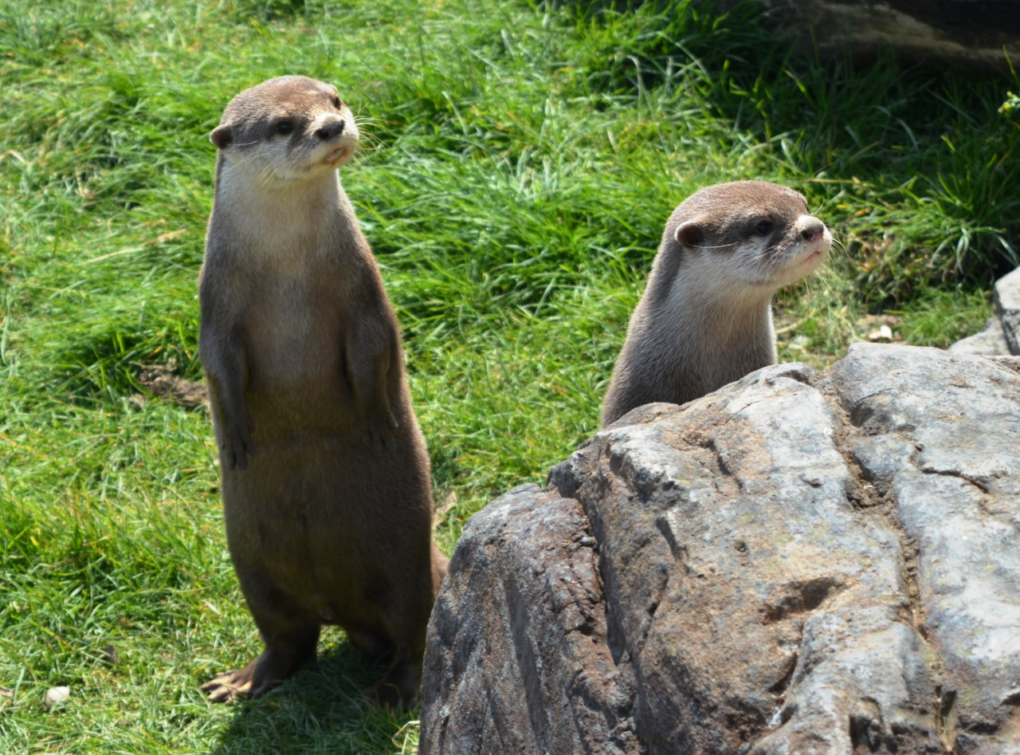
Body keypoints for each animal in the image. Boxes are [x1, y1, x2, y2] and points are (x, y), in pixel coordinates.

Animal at [197, 75, 448, 708]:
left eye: (334, 99)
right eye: (284, 124)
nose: (331, 127)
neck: (287, 269)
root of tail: (339, 610)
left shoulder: (363, 292)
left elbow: (374, 349)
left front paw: (377, 420)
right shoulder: (216, 309)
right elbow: (218, 367)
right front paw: (236, 436)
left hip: (405, 564)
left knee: (414, 633)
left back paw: (392, 691)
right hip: (253, 568)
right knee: (289, 638)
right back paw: (244, 680)